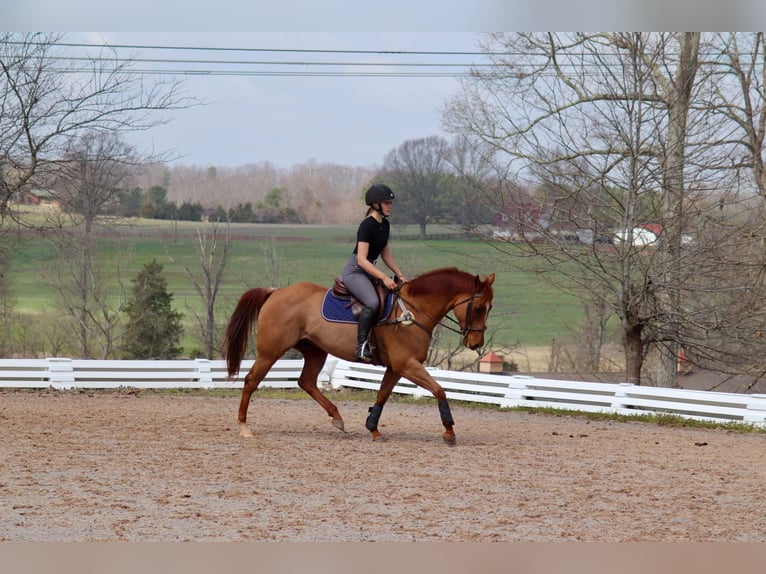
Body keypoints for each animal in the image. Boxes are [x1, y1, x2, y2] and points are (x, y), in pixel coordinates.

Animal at [222, 268, 498, 448]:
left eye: (489, 308)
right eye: (478, 308)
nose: (476, 343)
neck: (412, 311)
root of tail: (276, 292)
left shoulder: (396, 367)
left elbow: (382, 396)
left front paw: (373, 428)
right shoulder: (407, 365)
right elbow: (439, 390)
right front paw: (449, 432)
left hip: (315, 351)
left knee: (307, 382)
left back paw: (337, 418)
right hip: (271, 351)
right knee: (251, 380)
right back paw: (244, 427)